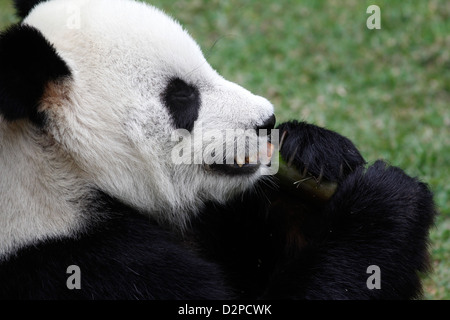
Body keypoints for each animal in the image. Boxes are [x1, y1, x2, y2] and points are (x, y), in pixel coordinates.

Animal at [0, 0, 436, 300]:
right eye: (182, 98)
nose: (267, 121)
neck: (57, 164)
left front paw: (316, 149)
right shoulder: (73, 262)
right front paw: (386, 201)